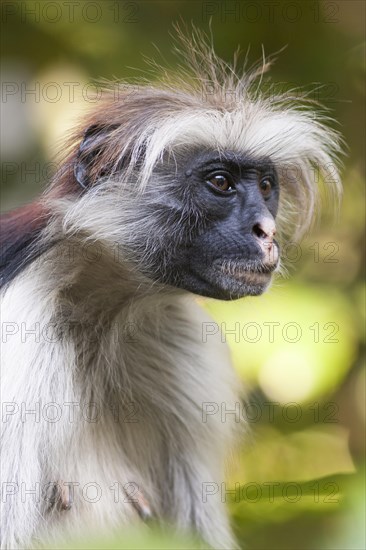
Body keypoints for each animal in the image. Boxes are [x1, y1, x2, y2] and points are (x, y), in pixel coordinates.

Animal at [1, 29, 342, 550]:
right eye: (220, 182)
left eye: (266, 186)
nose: (267, 231)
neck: (101, 317)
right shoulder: (18, 328)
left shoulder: (182, 338)